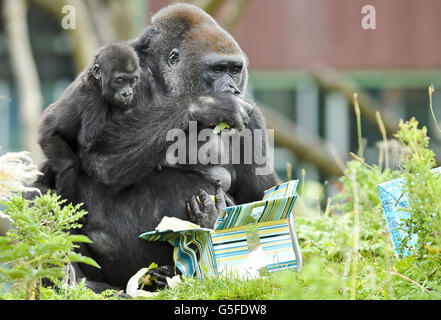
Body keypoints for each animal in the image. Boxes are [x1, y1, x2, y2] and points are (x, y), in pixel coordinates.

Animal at [39, 41, 140, 204]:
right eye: (120, 81)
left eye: (132, 81)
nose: (127, 93)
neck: (97, 80)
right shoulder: (92, 98)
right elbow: (90, 139)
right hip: (47, 136)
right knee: (68, 165)